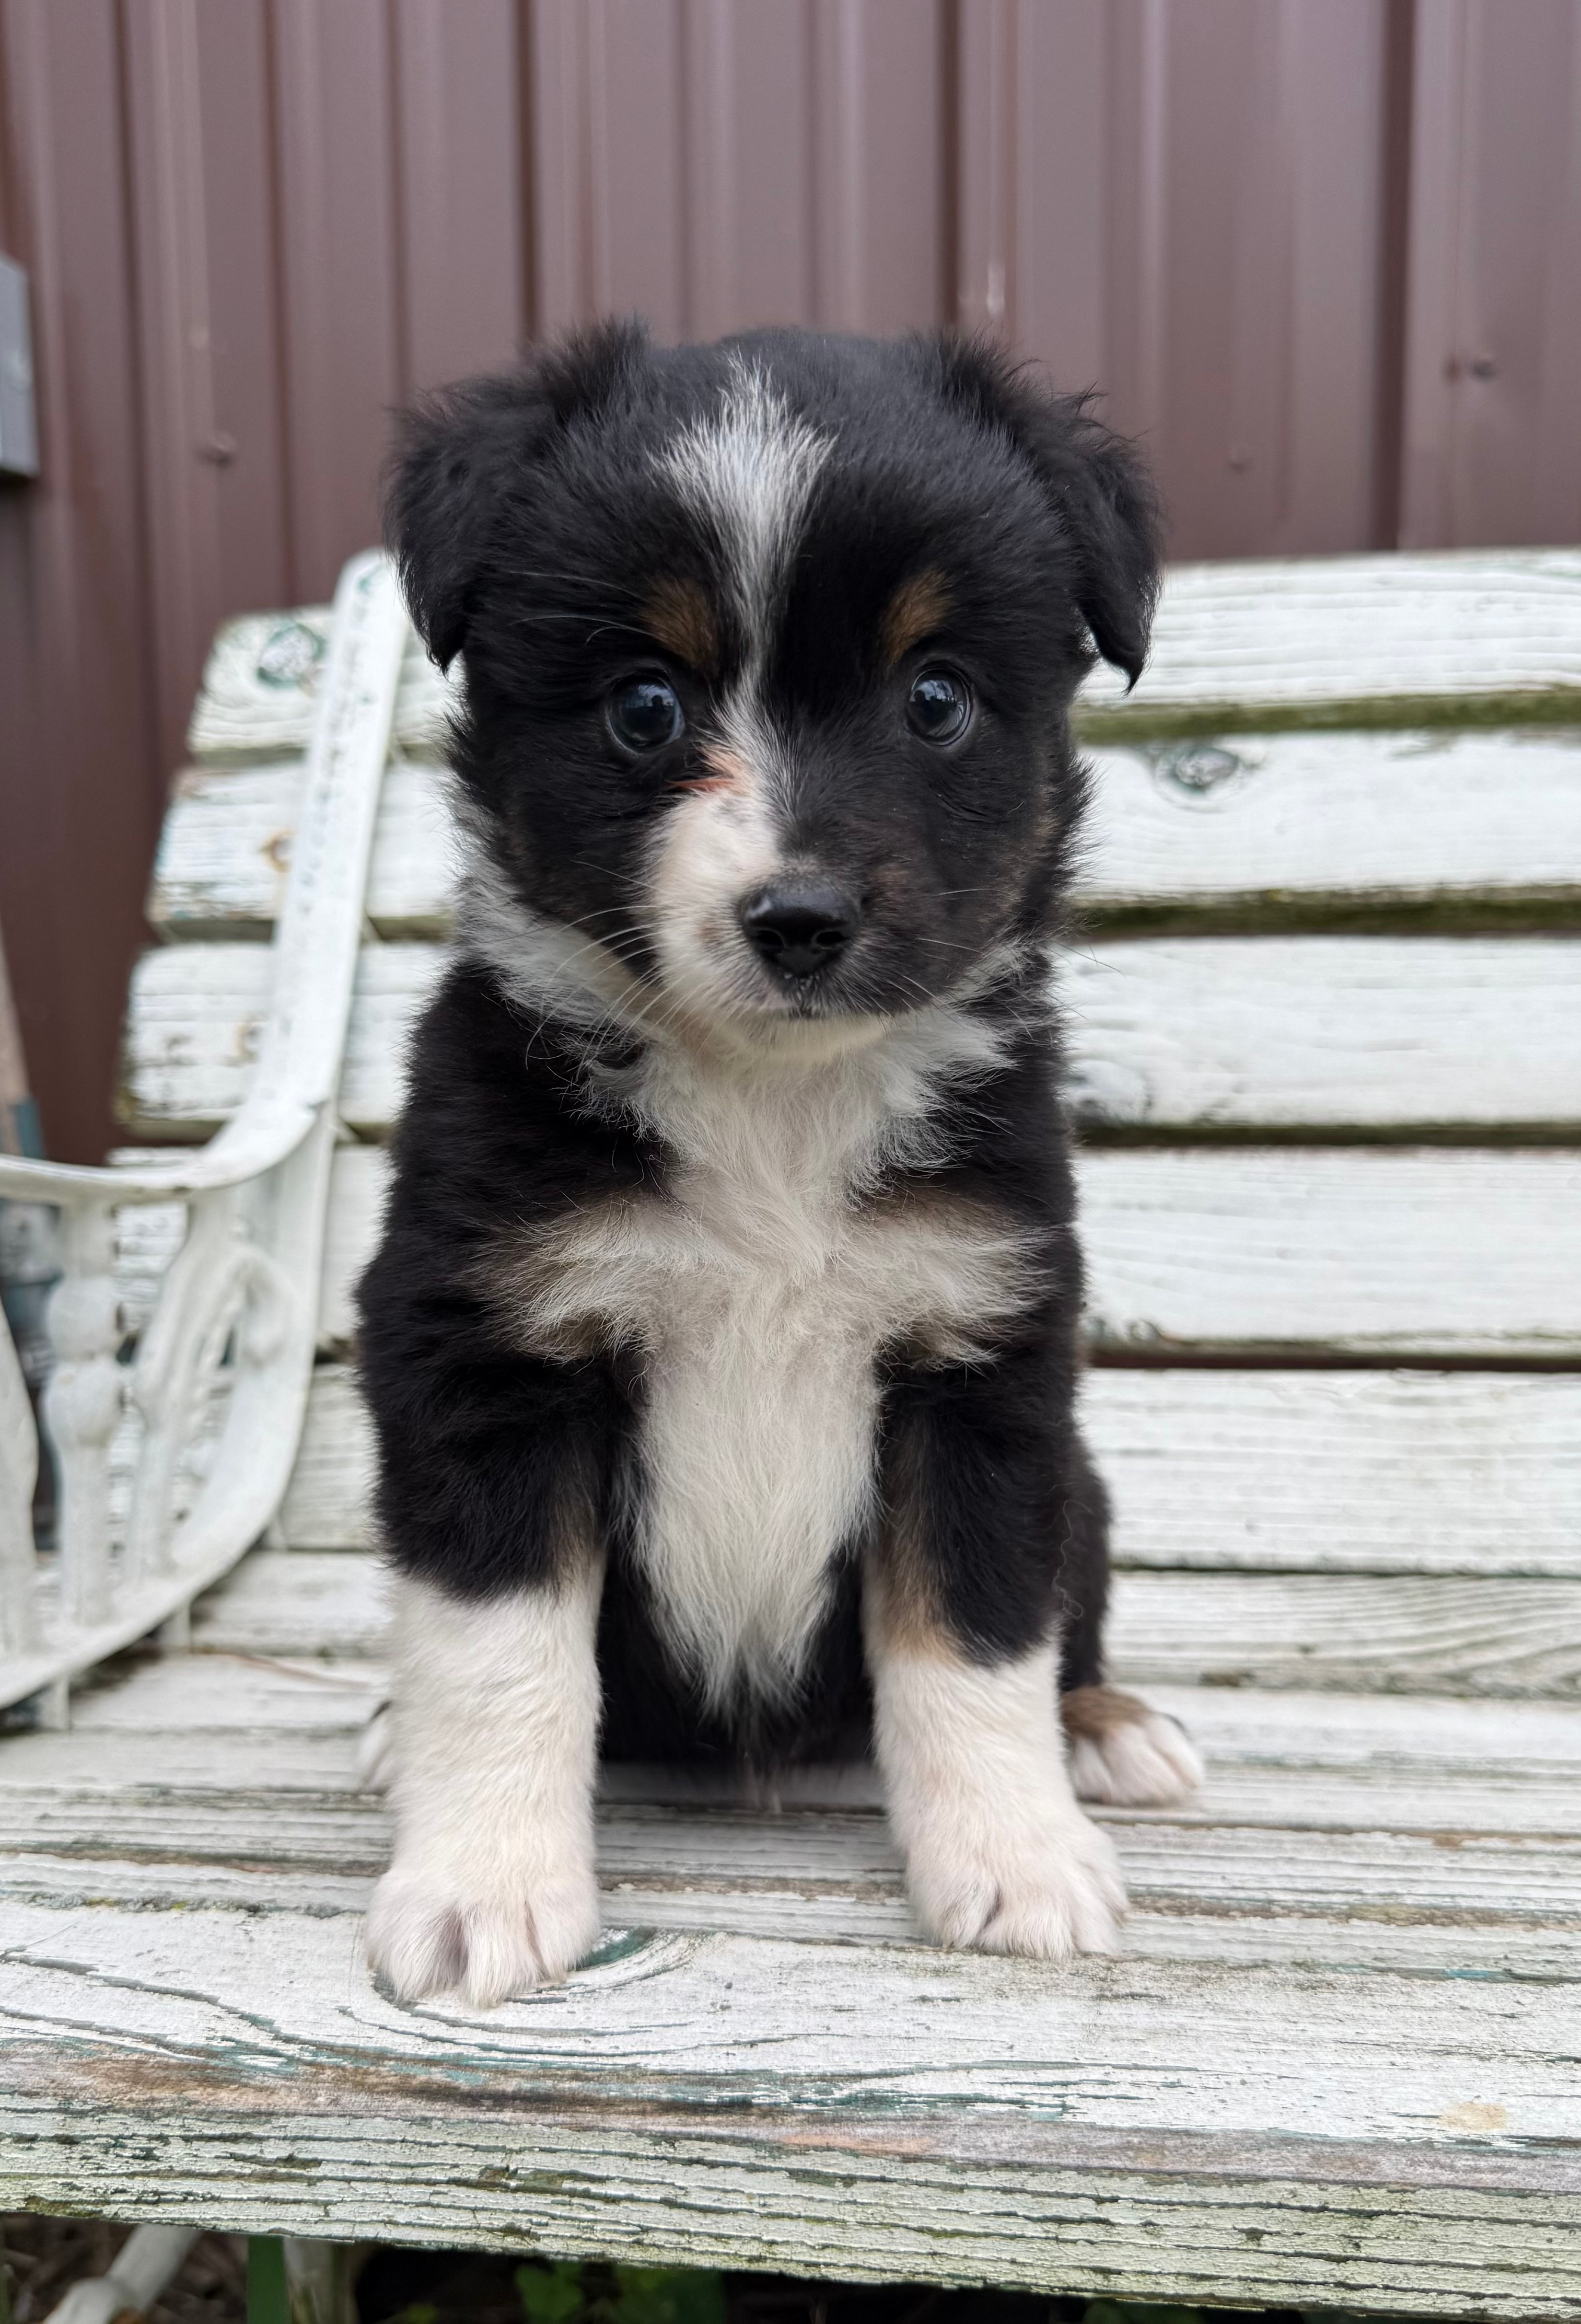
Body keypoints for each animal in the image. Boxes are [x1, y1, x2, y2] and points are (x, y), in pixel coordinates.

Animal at [357, 320, 1202, 2008]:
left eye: (936, 698)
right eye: (643, 707)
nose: (800, 919)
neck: (770, 1102)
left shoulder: (978, 1366)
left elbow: (976, 1643)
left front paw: (1016, 1859)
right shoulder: (484, 1350)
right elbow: (496, 1651)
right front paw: (482, 1887)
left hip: (1085, 1485)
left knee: (1066, 1633)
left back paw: (1108, 1730)